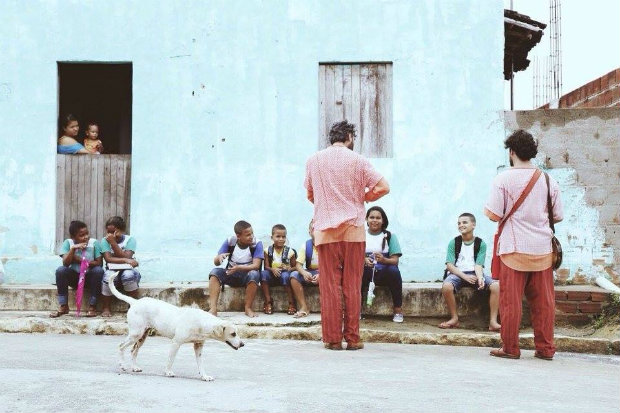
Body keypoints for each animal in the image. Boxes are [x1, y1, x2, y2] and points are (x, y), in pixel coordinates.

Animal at [108, 270, 243, 380]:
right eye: (233, 334)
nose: (243, 344)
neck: (202, 322)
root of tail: (135, 302)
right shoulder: (176, 343)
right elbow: (170, 359)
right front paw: (168, 372)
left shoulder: (198, 346)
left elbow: (201, 364)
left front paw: (204, 376)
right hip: (136, 334)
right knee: (121, 346)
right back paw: (123, 365)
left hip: (142, 336)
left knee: (133, 350)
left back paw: (134, 367)